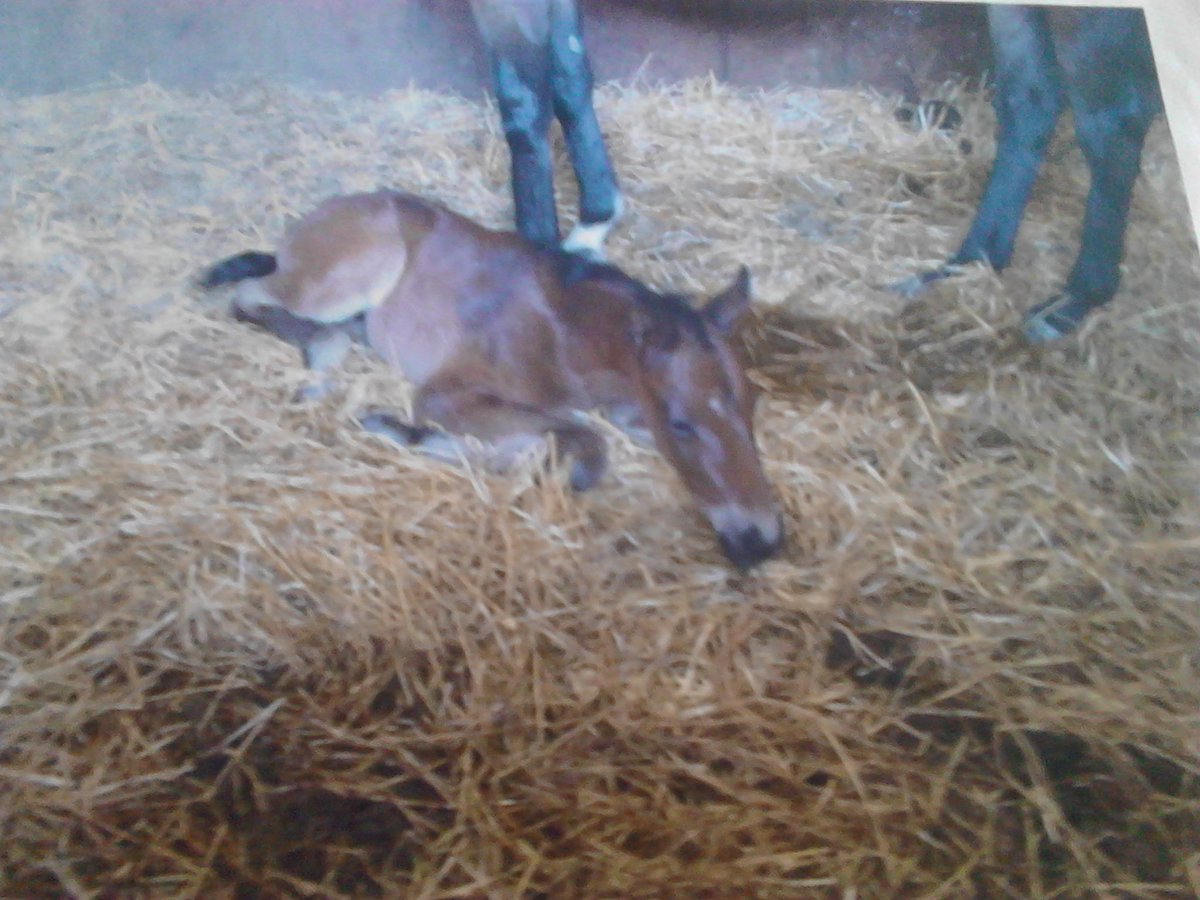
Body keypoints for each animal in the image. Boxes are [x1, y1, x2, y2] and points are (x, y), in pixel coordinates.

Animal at [201, 189, 783, 569]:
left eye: (750, 410)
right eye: (682, 424)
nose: (761, 542)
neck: (565, 334)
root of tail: (315, 217)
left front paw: (411, 435)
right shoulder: (444, 394)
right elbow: (581, 444)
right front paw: (404, 430)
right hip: (347, 277)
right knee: (254, 294)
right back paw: (323, 351)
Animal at [470, 2, 1162, 343]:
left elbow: (523, 97)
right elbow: (567, 72)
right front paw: (591, 223)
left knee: (1110, 124)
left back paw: (1078, 297)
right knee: (1032, 101)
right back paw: (968, 263)